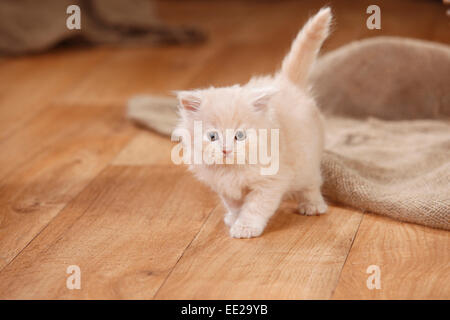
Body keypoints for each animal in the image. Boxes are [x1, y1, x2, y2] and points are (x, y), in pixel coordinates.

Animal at [174, 7, 332, 239]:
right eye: (212, 136)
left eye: (239, 136)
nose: (226, 150)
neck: (231, 170)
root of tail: (287, 82)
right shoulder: (225, 188)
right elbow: (235, 205)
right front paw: (235, 218)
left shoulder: (271, 181)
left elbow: (255, 207)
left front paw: (245, 227)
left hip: (307, 161)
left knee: (312, 184)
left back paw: (312, 206)